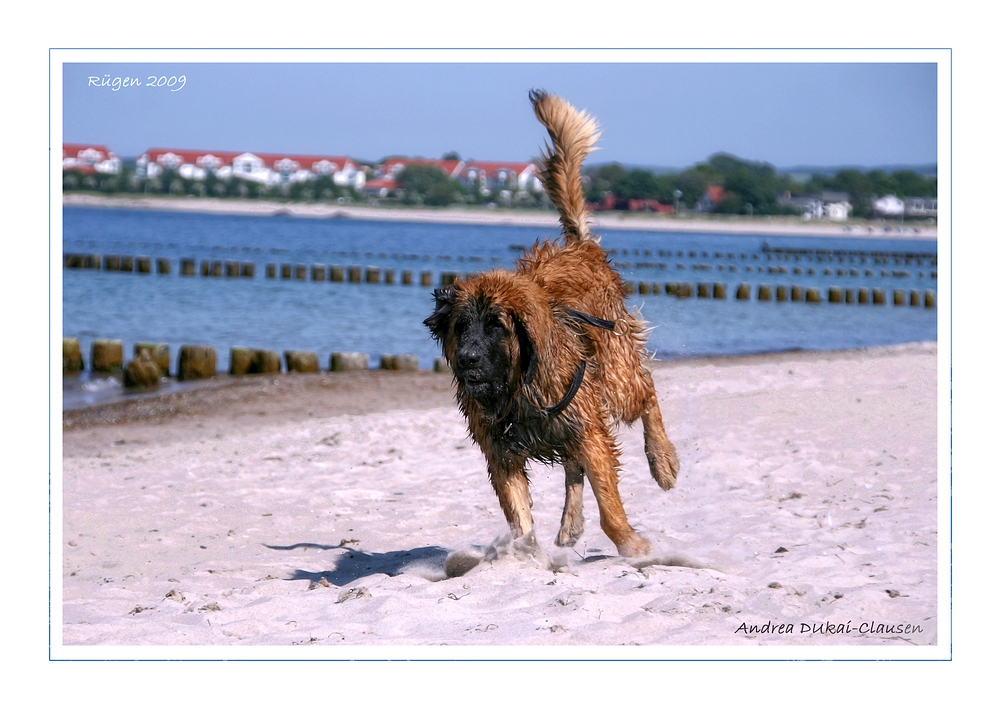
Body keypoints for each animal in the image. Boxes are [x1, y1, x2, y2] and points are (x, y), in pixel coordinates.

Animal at [422, 88, 680, 556]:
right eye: (461, 328)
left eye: (496, 327)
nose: (467, 360)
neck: (516, 385)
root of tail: (580, 247)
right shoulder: (501, 451)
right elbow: (519, 516)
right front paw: (522, 553)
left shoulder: (587, 427)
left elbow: (609, 504)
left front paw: (631, 545)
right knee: (573, 469)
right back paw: (570, 522)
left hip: (614, 375)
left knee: (647, 392)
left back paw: (663, 460)